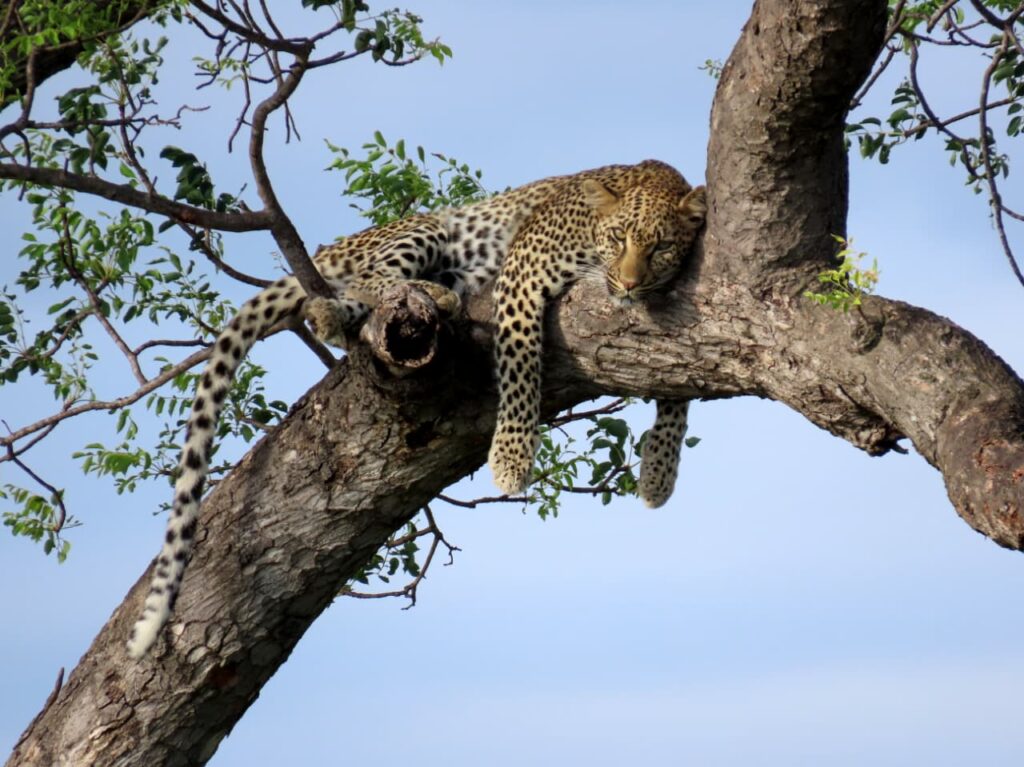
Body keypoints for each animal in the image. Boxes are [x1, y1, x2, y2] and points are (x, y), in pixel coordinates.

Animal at [126, 159, 707, 658]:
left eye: (659, 248)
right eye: (619, 239)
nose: (628, 285)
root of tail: (347, 242)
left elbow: (679, 383)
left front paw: (658, 472)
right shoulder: (524, 268)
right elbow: (521, 360)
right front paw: (511, 459)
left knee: (354, 297)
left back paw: (340, 312)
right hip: (426, 228)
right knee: (376, 281)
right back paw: (431, 295)